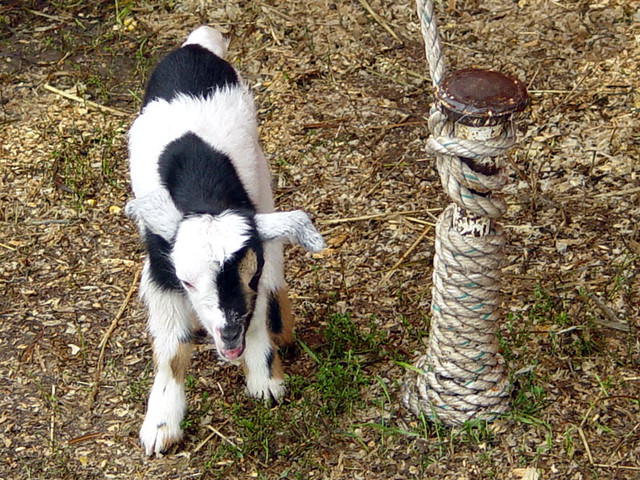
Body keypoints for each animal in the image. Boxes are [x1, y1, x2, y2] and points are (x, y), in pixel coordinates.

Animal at [125, 26, 324, 456]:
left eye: (249, 276)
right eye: (186, 281)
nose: (229, 334)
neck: (204, 190)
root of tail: (196, 47)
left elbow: (261, 303)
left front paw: (265, 379)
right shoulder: (160, 266)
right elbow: (172, 347)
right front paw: (161, 424)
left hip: (261, 172)